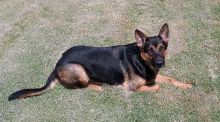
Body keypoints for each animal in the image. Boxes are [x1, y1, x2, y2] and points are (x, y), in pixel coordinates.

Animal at [8, 23, 191, 100]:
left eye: (161, 48)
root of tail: (58, 63)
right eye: (149, 50)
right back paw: (97, 86)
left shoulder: (154, 74)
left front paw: (186, 85)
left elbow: (170, 79)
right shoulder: (131, 87)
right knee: (81, 86)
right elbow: (157, 86)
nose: (160, 63)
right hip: (79, 70)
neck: (141, 61)